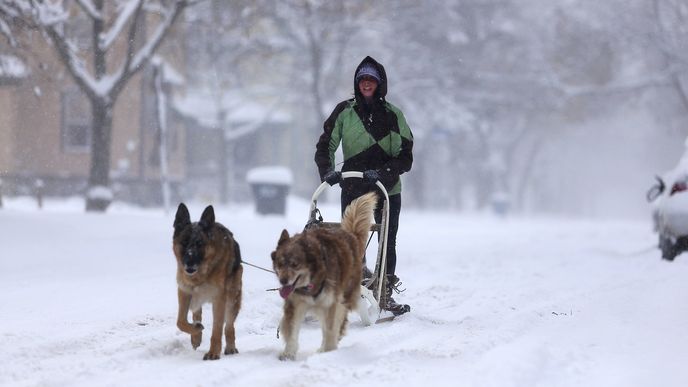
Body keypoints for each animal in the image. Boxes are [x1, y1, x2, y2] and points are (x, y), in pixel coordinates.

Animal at [171, 205, 242, 362]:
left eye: (199, 244)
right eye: (184, 242)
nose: (189, 263)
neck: (202, 274)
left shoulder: (219, 299)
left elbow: (217, 329)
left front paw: (213, 352)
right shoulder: (184, 292)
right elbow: (180, 321)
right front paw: (195, 330)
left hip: (232, 299)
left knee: (229, 326)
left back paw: (230, 347)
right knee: (196, 314)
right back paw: (196, 335)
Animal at [270, 192, 376, 360]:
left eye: (295, 264)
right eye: (280, 264)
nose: (283, 281)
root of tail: (350, 235)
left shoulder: (331, 303)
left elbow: (331, 328)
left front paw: (328, 351)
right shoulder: (295, 303)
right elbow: (292, 328)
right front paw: (288, 353)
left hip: (346, 294)